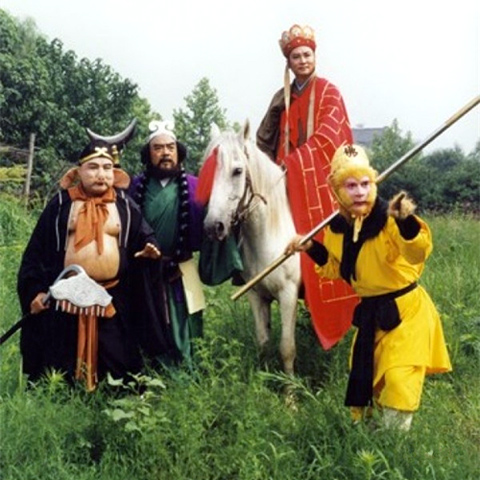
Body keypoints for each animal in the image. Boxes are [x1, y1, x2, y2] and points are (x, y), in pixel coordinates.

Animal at [201, 121, 301, 375]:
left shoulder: (288, 294)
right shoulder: (256, 295)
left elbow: (287, 347)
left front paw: (290, 386)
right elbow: (263, 342)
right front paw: (264, 378)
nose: (212, 226)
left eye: (237, 171)